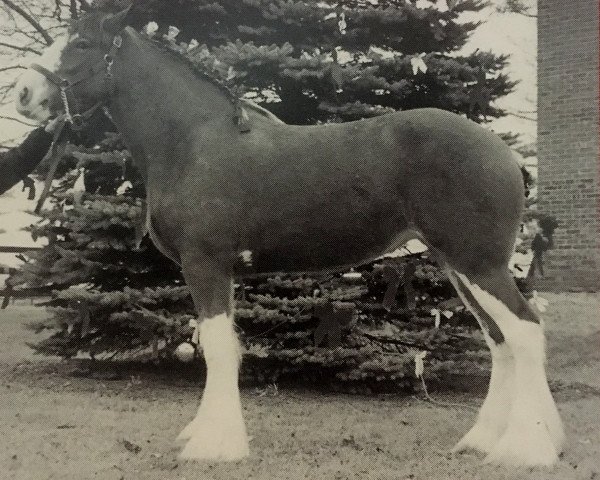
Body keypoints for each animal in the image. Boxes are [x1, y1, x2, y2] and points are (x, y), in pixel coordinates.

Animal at [15, 5, 568, 466]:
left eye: (81, 42)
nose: (22, 94)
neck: (193, 141)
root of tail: (504, 153)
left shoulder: (206, 263)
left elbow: (218, 346)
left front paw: (214, 445)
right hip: (458, 265)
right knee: (500, 339)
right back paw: (483, 441)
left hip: (478, 262)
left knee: (524, 330)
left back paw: (527, 449)